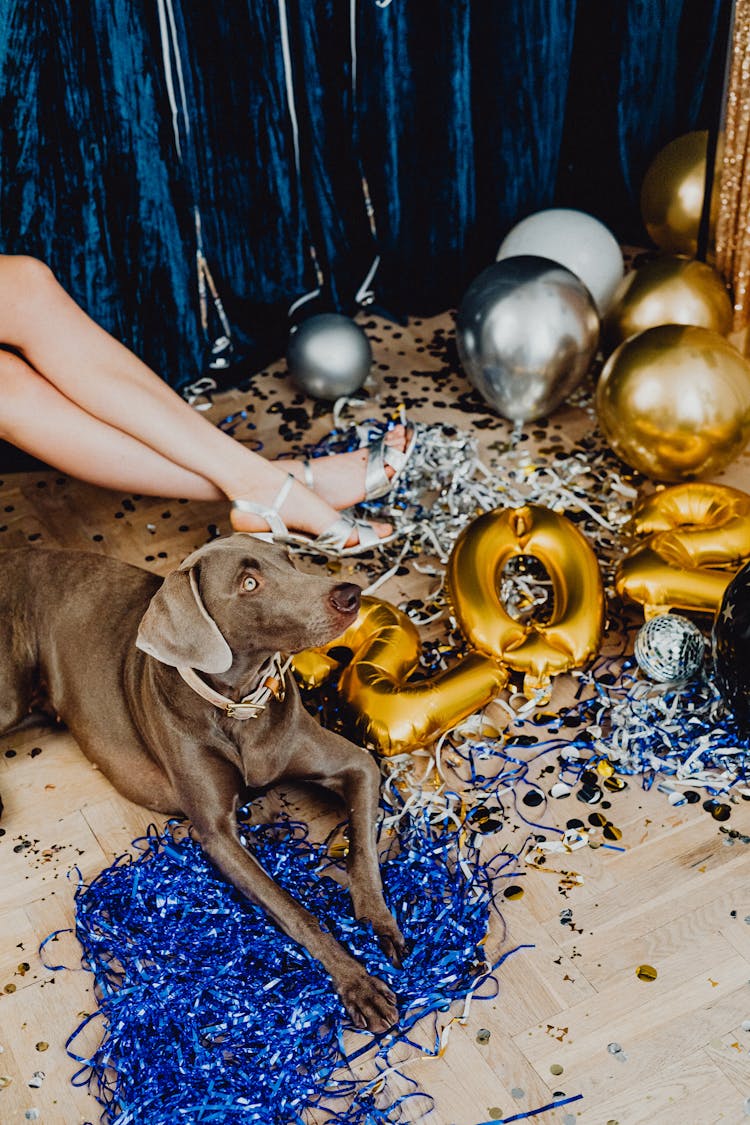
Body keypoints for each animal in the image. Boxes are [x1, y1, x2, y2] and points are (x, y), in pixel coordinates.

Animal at [0, 535, 407, 1030]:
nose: (351, 595)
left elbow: (363, 853)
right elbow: (294, 910)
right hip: (9, 695)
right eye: (249, 583)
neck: (238, 708)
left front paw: (379, 924)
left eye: (289, 559)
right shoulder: (216, 836)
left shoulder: (358, 764)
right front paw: (358, 984)